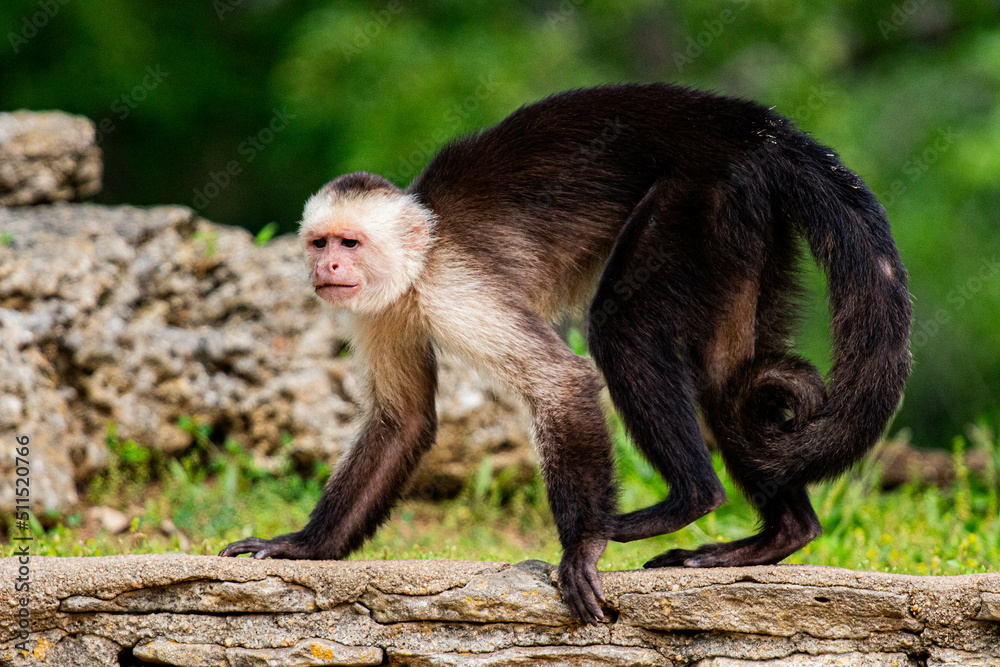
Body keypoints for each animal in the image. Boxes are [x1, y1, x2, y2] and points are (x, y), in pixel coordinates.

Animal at [220, 83, 912, 625]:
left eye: (351, 243)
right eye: (320, 243)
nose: (329, 268)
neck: (417, 263)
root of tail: (753, 127)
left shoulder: (452, 286)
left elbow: (561, 380)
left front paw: (581, 548)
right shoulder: (380, 309)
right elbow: (403, 420)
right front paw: (304, 546)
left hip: (707, 194)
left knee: (622, 329)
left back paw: (688, 500)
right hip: (747, 223)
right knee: (730, 380)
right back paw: (776, 537)